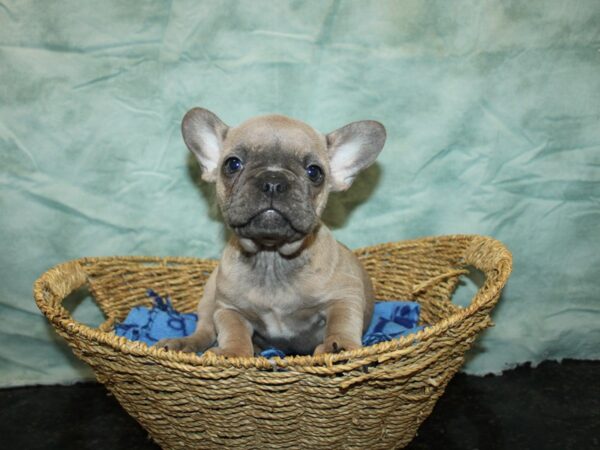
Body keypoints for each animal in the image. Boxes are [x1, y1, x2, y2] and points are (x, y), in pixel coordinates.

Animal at [157, 107, 386, 356]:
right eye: (232, 164)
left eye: (314, 172)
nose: (273, 181)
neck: (271, 256)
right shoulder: (228, 309)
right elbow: (233, 332)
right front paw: (233, 352)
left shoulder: (344, 297)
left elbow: (342, 323)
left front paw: (339, 347)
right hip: (209, 298)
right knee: (205, 331)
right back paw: (182, 343)